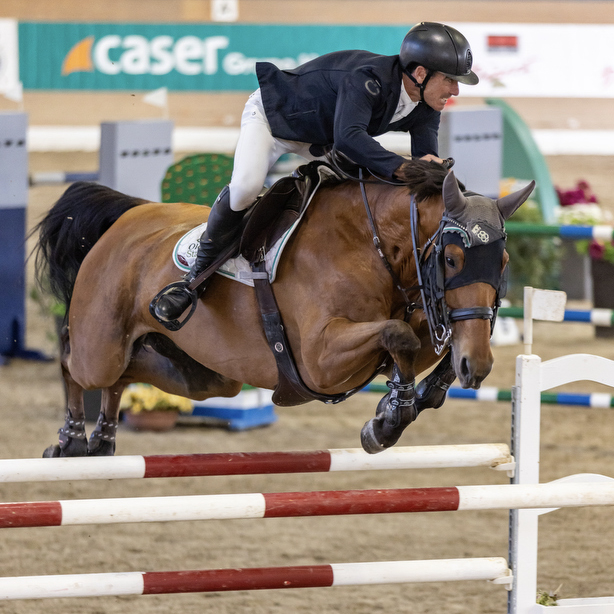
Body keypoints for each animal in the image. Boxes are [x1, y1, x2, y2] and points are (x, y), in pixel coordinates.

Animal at [32, 161, 536, 460]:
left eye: (503, 262)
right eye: (451, 259)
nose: (478, 367)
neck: (370, 245)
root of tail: (127, 215)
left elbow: (423, 343)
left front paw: (404, 403)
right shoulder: (319, 360)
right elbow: (399, 336)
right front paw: (388, 421)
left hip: (206, 376)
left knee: (127, 373)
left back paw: (103, 439)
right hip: (101, 345)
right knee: (75, 360)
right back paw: (71, 439)